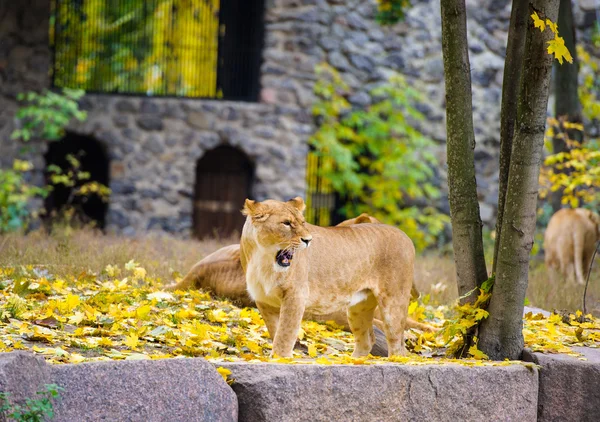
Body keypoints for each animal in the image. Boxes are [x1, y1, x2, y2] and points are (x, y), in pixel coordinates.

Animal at [239, 197, 418, 356]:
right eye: (286, 223)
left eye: (303, 223)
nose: (308, 240)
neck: (263, 259)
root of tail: (406, 236)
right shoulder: (264, 301)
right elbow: (275, 331)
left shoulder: (296, 296)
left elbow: (285, 334)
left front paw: (280, 360)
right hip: (359, 308)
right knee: (367, 340)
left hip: (393, 303)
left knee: (398, 346)